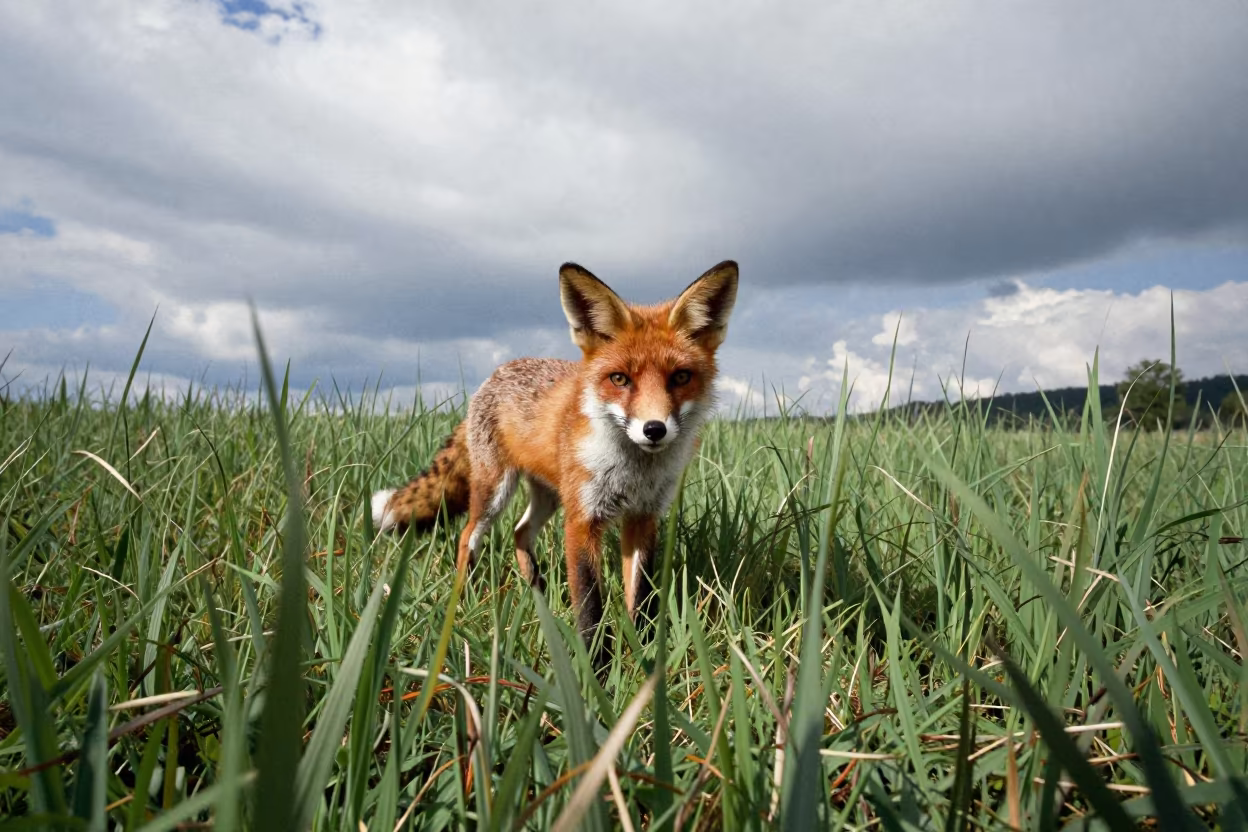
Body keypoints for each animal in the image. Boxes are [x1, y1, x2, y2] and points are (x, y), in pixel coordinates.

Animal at [371, 260, 738, 644]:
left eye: (680, 377)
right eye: (620, 379)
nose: (654, 429)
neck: (633, 472)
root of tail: (493, 376)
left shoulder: (643, 517)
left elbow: (641, 598)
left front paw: (643, 649)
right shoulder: (581, 520)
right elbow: (589, 606)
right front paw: (594, 659)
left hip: (549, 496)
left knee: (520, 532)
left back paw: (537, 592)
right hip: (495, 493)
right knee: (467, 537)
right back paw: (466, 594)